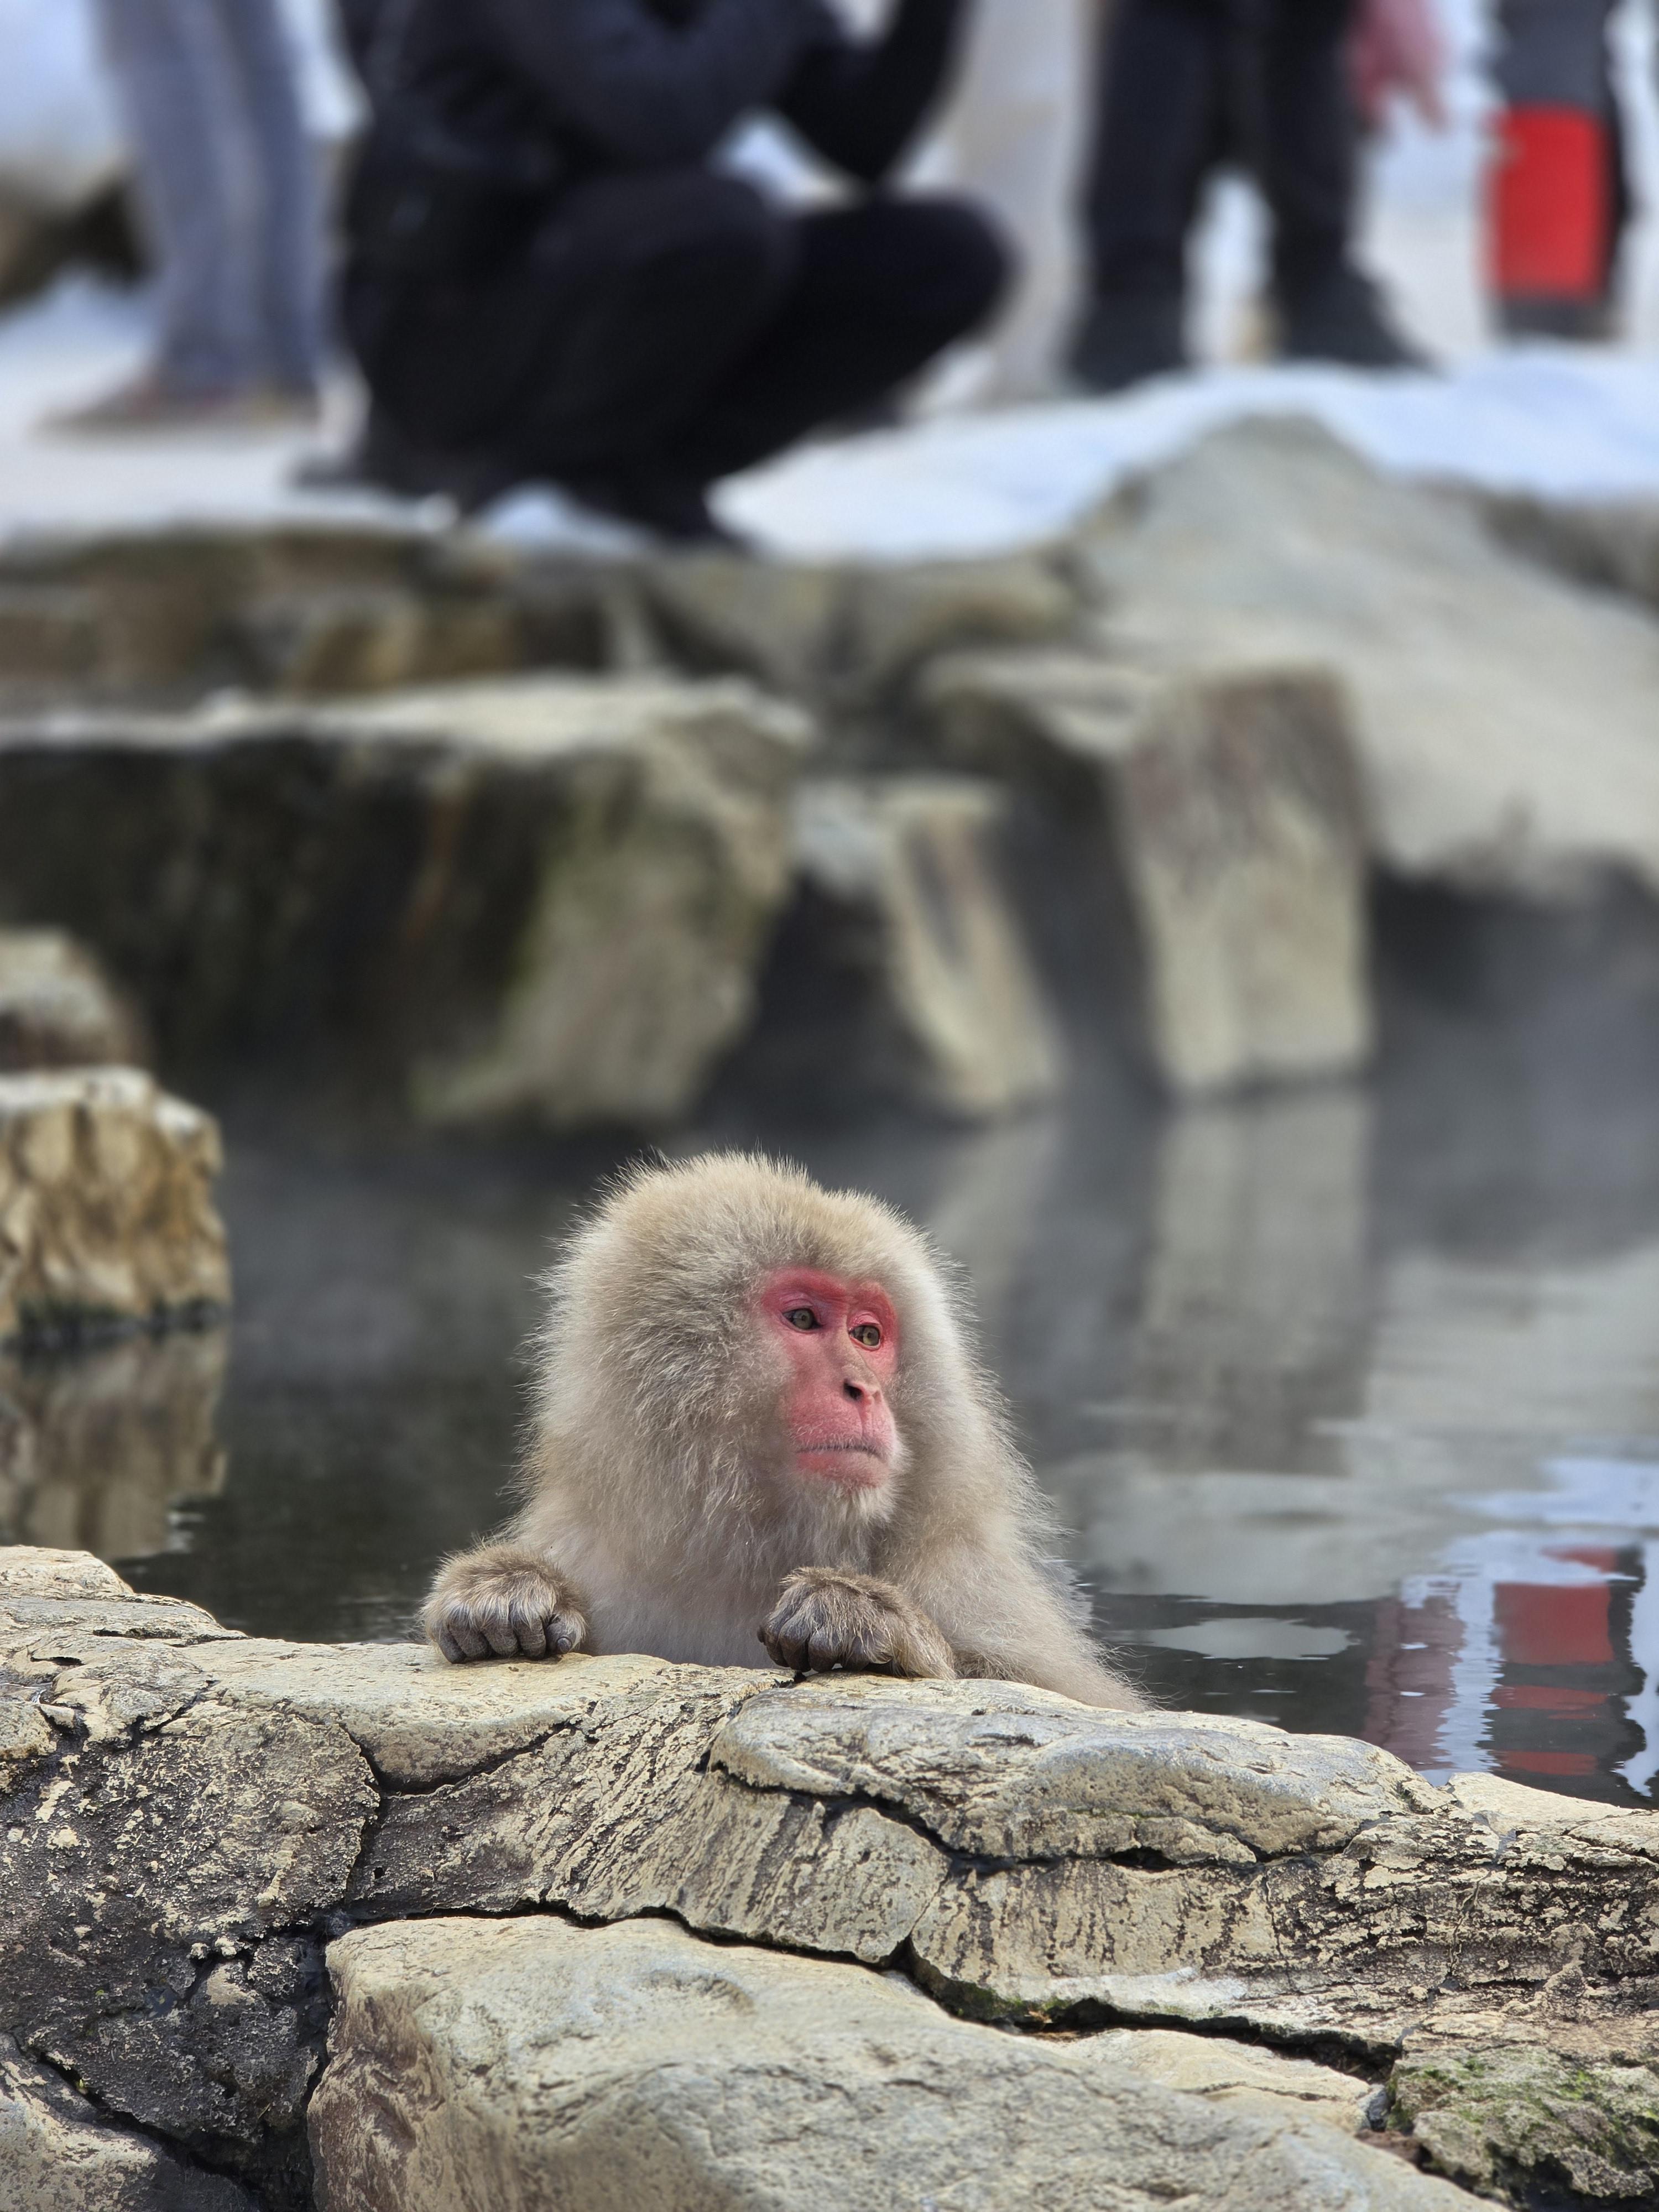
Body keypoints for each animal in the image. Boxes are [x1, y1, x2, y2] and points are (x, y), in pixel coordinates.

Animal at [422, 1152, 1144, 1709]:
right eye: (803, 1318)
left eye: (868, 1335)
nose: (865, 1389)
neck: (743, 1543)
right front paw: (506, 1590)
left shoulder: (965, 1571)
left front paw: (869, 1621)